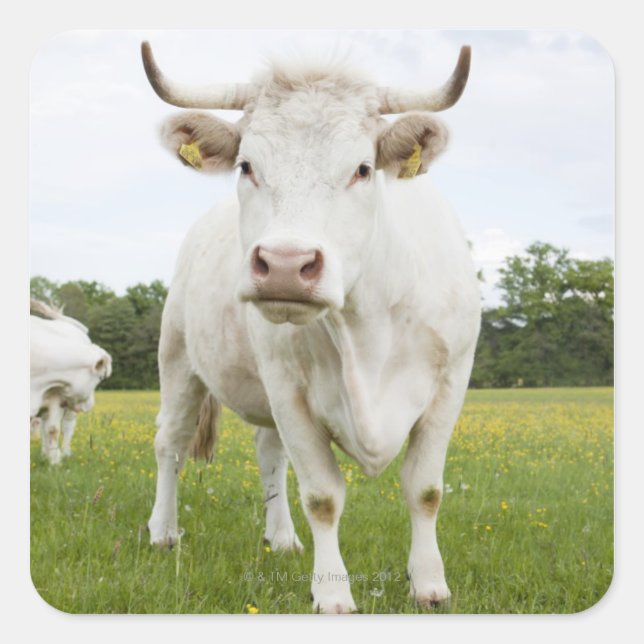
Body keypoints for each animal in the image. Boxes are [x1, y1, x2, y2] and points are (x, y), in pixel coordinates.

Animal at [30, 300, 112, 465]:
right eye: (100, 378)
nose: (89, 405)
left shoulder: (55, 398)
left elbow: (53, 429)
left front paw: (55, 461)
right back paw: (45, 453)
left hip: (68, 409)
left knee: (66, 427)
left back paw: (65, 453)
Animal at [141, 41, 481, 613]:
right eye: (246, 165)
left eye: (363, 168)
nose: (284, 264)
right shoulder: (288, 388)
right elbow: (323, 497)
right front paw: (333, 592)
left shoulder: (450, 382)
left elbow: (425, 490)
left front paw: (430, 584)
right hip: (179, 357)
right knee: (171, 441)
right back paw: (163, 532)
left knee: (269, 455)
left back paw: (280, 538)